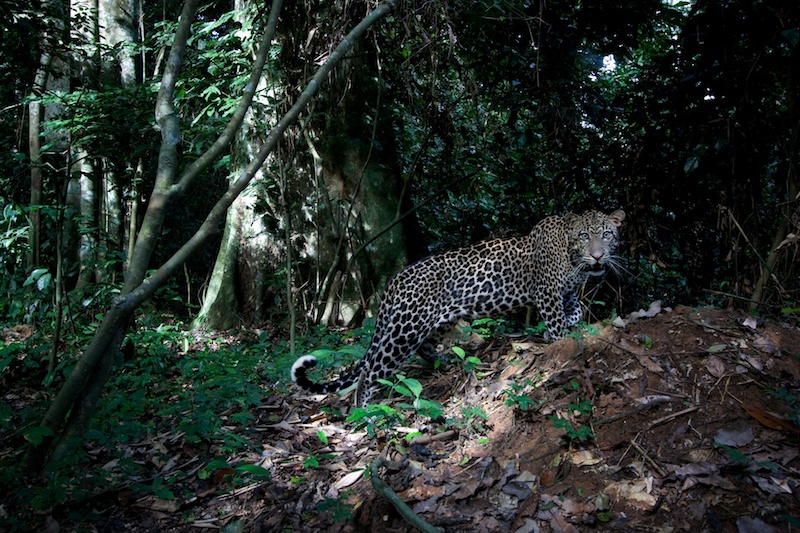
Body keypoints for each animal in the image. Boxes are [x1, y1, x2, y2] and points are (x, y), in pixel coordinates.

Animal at [292, 210, 624, 406]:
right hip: (405, 330)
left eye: (607, 234)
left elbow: (574, 311)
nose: (598, 257)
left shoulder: (566, 292)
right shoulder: (547, 292)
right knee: (371, 370)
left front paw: (571, 324)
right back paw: (363, 413)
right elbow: (556, 323)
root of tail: (395, 280)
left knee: (425, 349)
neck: (572, 255)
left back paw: (448, 361)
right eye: (585, 235)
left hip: (440, 321)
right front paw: (561, 342)